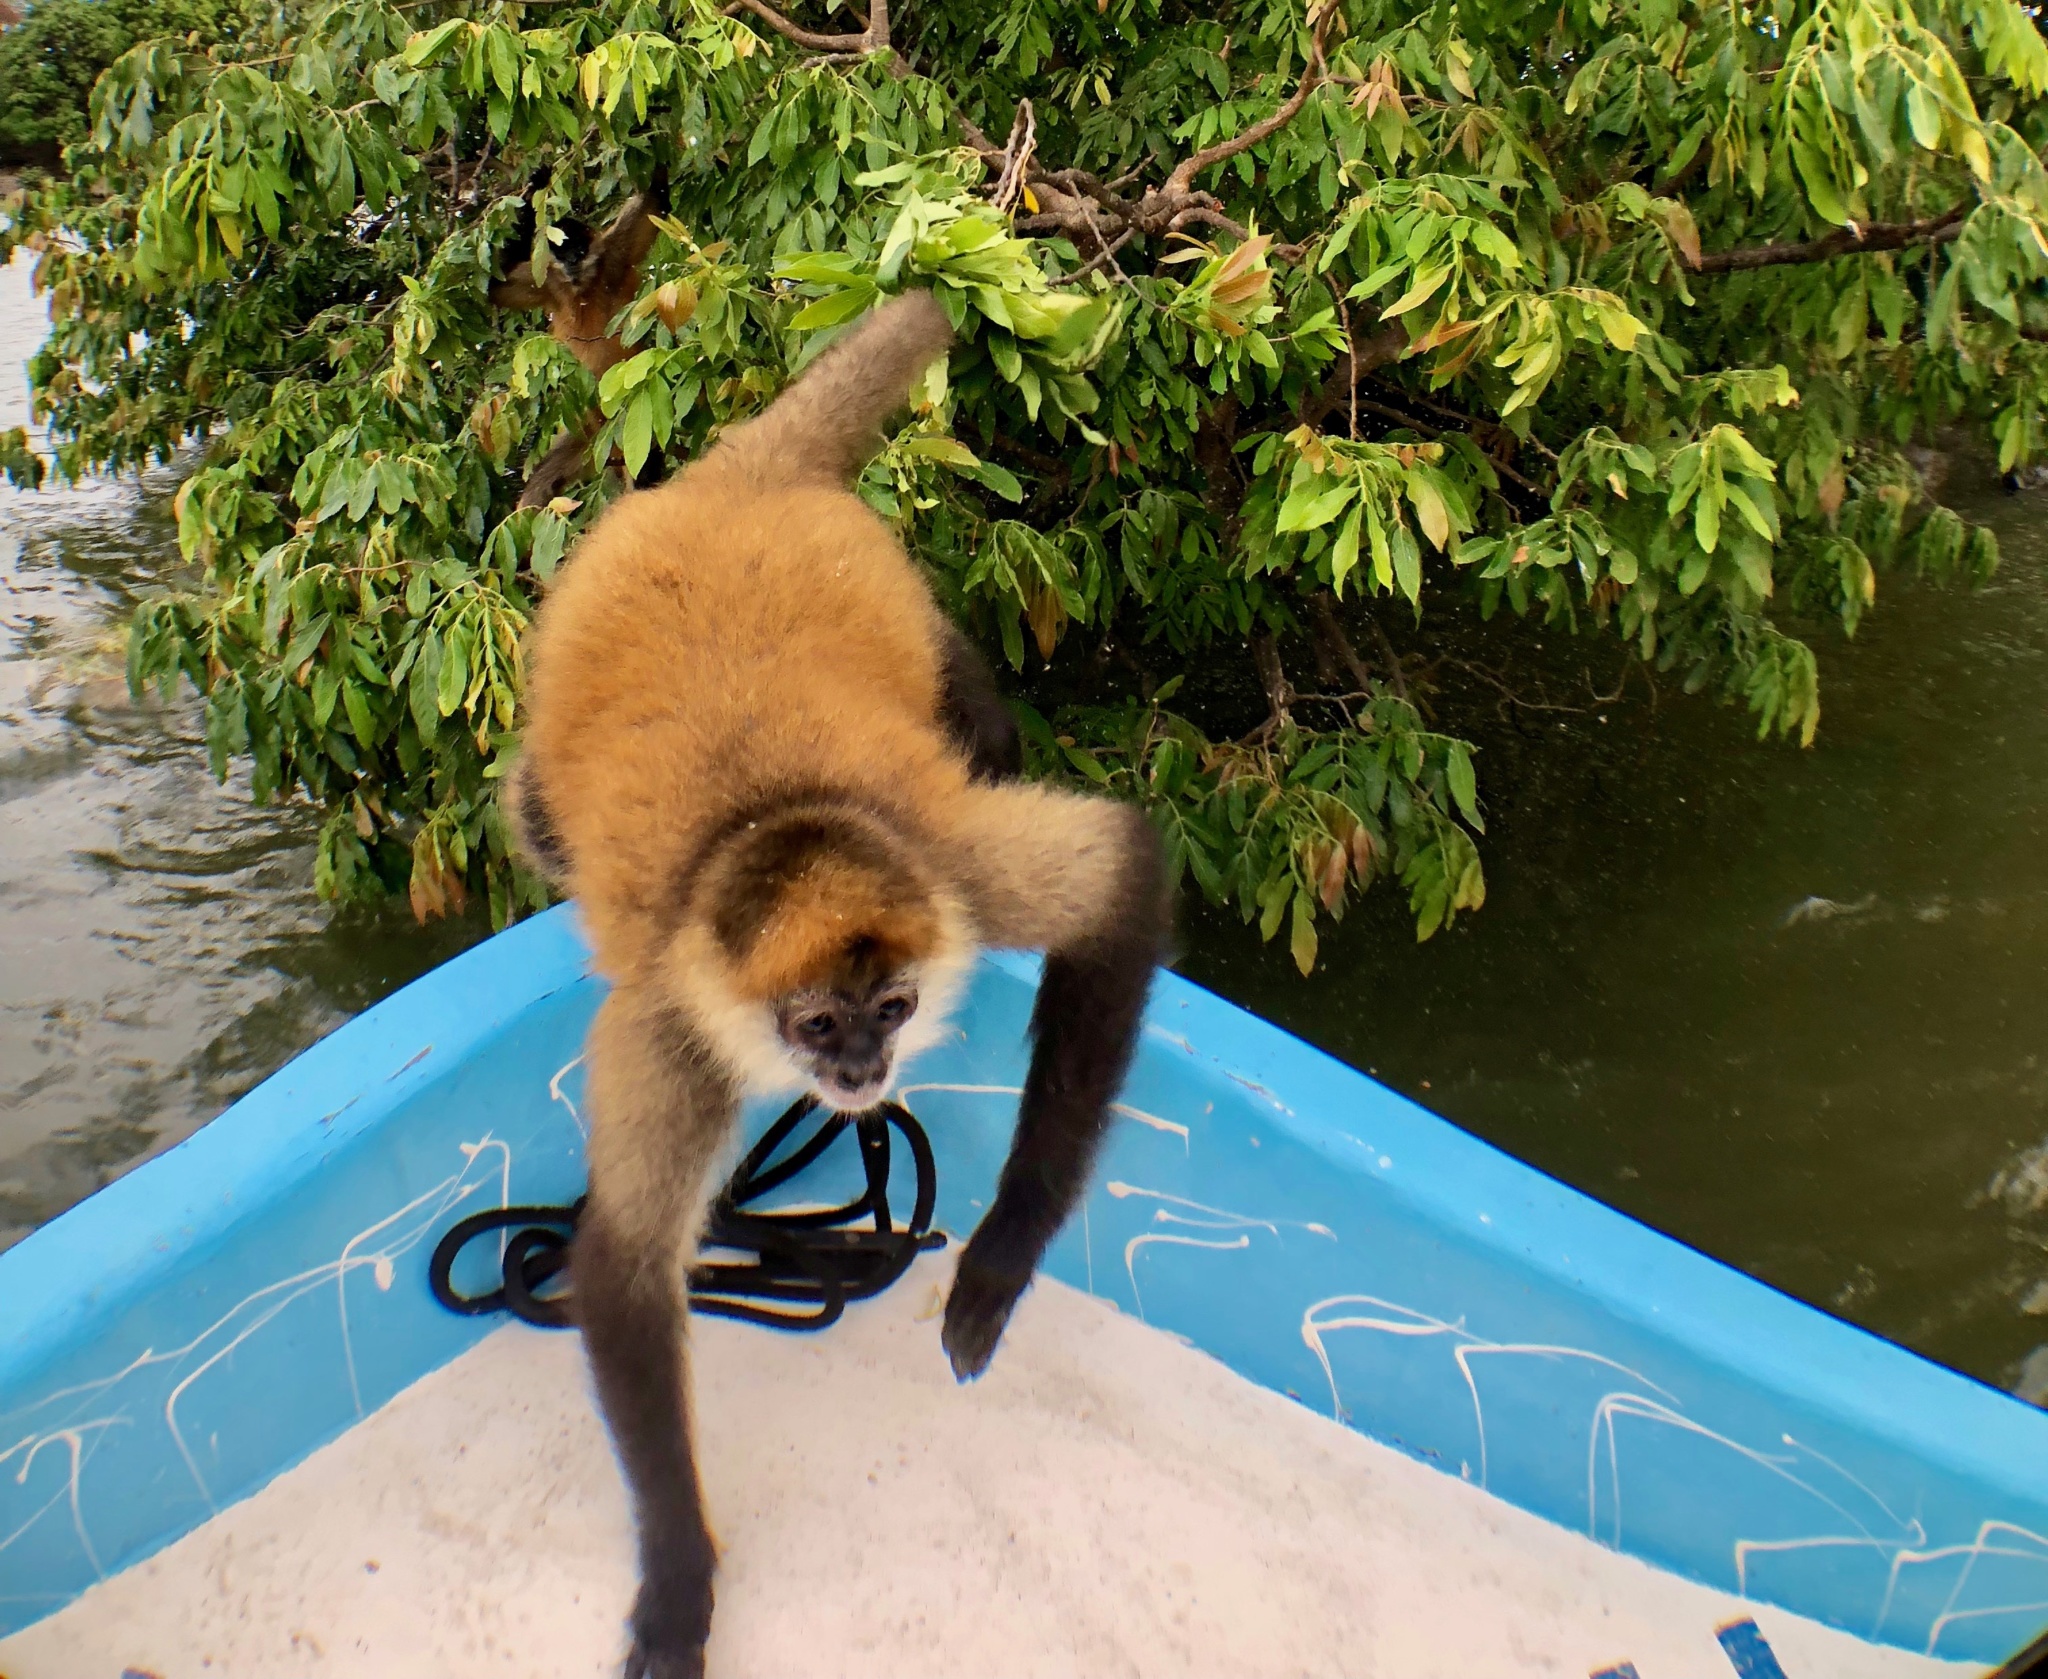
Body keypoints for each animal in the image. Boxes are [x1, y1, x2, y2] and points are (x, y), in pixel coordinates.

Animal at [489, 164, 667, 507]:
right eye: (563, 254)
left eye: (579, 251)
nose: (571, 263)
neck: (583, 288)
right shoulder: (548, 282)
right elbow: (495, 286)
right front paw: (538, 182)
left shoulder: (615, 253)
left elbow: (657, 200)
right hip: (588, 437)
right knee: (539, 486)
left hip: (634, 423)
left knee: (644, 469)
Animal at [512, 292, 1171, 1679]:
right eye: (816, 1023)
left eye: (896, 1007)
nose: (862, 1074)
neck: (774, 816)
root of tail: (733, 480)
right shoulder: (678, 1024)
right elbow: (623, 1265)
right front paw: (681, 1585)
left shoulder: (944, 867)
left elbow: (1118, 874)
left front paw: (997, 1261)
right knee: (535, 815)